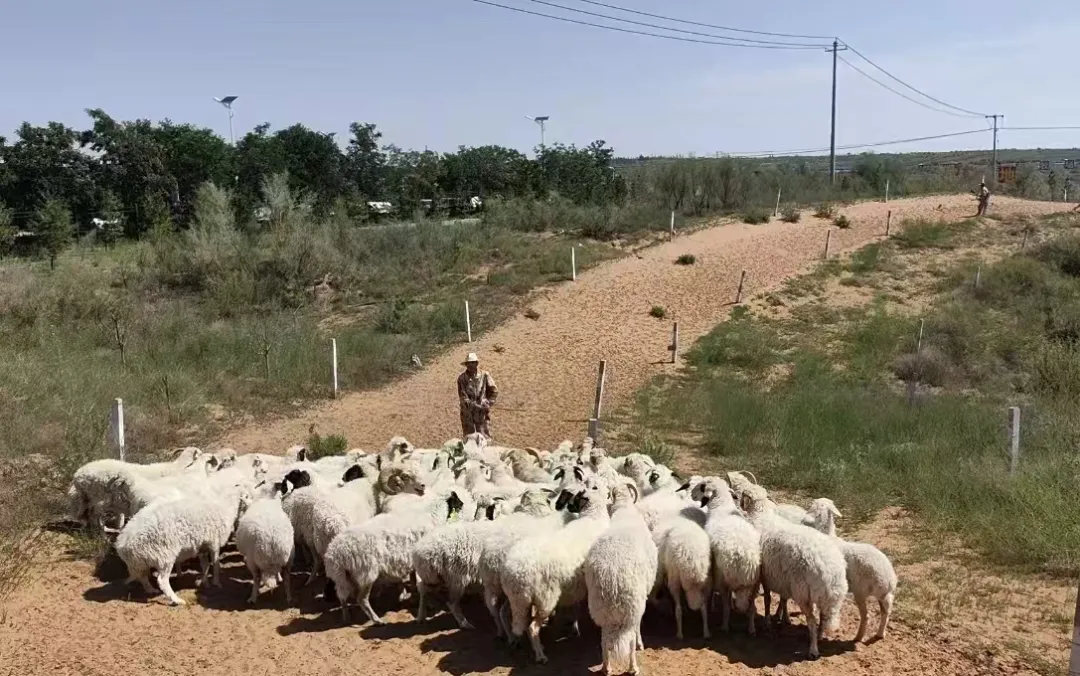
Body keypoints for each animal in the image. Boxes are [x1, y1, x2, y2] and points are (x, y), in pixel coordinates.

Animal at [498, 472, 613, 656]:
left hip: (518, 598)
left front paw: (574, 626)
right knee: (532, 627)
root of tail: (515, 572)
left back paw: (513, 639)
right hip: (545, 598)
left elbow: (575, 607)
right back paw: (540, 654)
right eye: (593, 486)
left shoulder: (577, 585)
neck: (593, 516)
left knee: (506, 614)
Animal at [587, 479, 652, 673]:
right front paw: (640, 643)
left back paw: (606, 667)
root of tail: (612, 578)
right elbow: (638, 629)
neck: (624, 509)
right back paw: (633, 667)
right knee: (629, 641)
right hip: (632, 608)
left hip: (600, 611)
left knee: (604, 640)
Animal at [738, 483, 846, 656]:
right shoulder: (774, 575)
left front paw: (759, 624)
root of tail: (829, 571)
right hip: (825, 595)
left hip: (802, 592)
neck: (760, 515)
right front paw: (776, 619)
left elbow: (761, 599)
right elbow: (773, 598)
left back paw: (813, 649)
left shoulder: (760, 575)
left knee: (812, 620)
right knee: (823, 618)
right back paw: (819, 637)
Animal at [807, 492, 898, 639]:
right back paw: (880, 633)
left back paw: (858, 637)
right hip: (883, 594)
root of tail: (889, 580)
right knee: (886, 610)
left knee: (866, 615)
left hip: (861, 591)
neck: (828, 534)